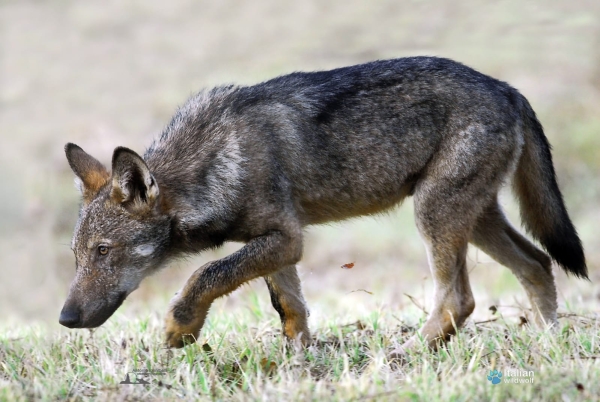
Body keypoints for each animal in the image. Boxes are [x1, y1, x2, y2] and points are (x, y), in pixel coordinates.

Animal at [59, 55, 584, 352]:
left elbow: (206, 273)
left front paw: (180, 329)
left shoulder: (286, 239)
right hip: (472, 220)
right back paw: (550, 344)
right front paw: (301, 364)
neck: (215, 161)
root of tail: (510, 90)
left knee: (460, 299)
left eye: (104, 252)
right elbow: (291, 309)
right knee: (537, 264)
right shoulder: (278, 244)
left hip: (434, 216)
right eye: (77, 257)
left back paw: (407, 355)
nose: (65, 319)